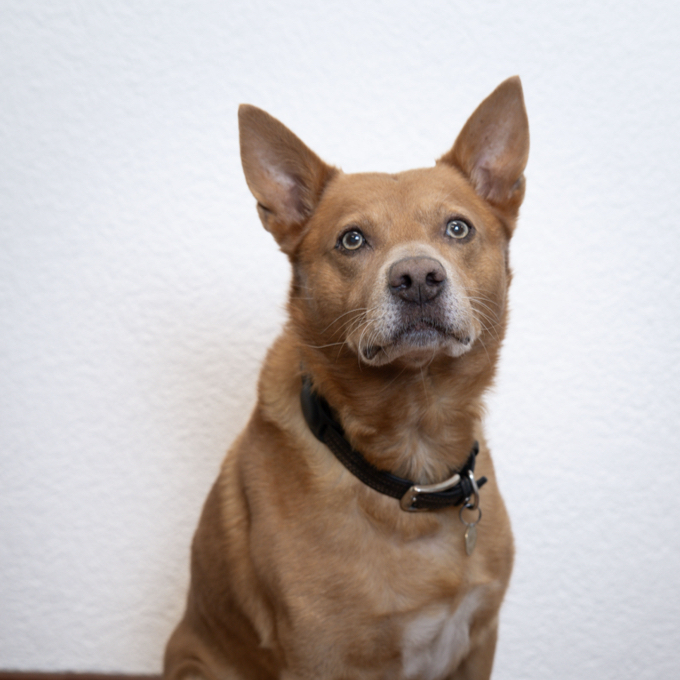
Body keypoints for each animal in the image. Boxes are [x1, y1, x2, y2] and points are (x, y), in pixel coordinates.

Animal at [164, 76, 529, 680]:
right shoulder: (323, 657)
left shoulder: (479, 641)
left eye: (458, 228)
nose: (417, 278)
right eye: (352, 240)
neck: (413, 456)